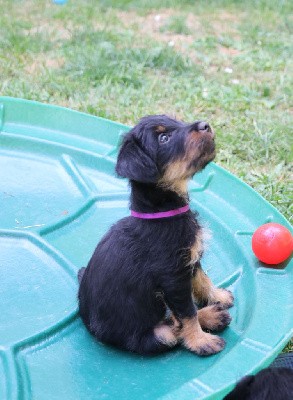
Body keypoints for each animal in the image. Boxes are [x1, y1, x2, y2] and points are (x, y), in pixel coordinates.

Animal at [77, 114, 233, 354]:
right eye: (164, 138)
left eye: (177, 121)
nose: (204, 125)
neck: (161, 212)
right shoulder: (173, 278)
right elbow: (187, 313)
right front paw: (200, 341)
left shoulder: (190, 259)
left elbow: (202, 280)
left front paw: (218, 296)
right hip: (154, 335)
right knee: (172, 328)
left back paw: (212, 315)